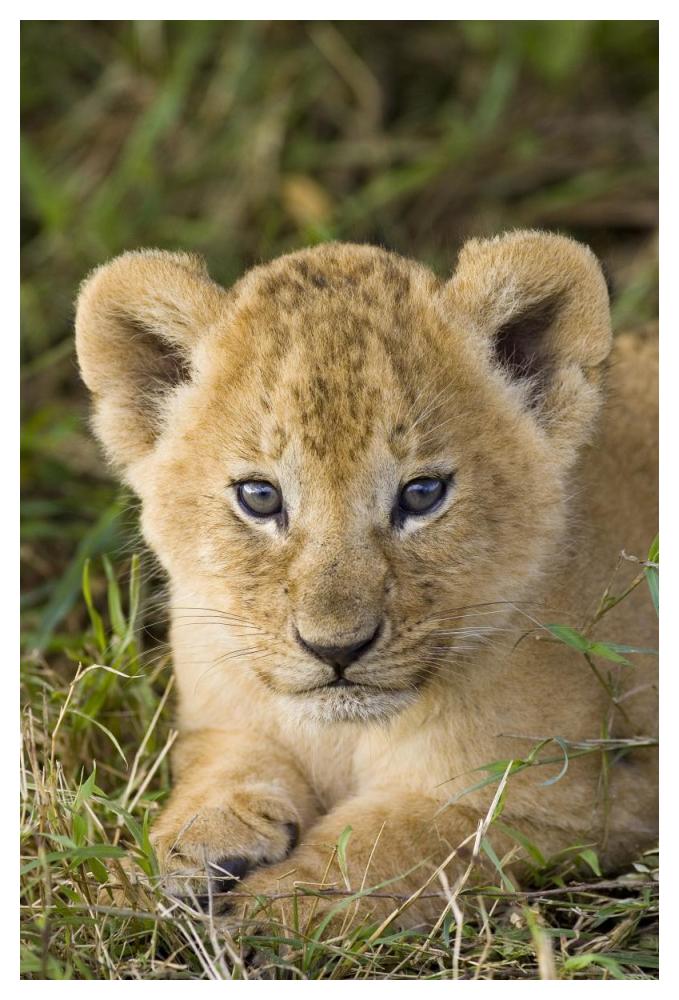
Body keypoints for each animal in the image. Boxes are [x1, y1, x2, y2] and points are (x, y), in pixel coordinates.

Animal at [75, 231, 658, 930]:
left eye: (423, 494)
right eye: (260, 497)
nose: (337, 649)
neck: (342, 736)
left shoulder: (573, 798)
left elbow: (391, 846)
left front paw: (266, 914)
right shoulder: (219, 718)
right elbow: (223, 770)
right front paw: (166, 860)